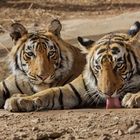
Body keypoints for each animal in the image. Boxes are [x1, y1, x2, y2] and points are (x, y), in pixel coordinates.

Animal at [4, 21, 140, 111]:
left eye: (119, 66)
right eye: (98, 67)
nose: (107, 93)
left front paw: (133, 97)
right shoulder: (72, 89)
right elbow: (48, 92)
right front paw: (18, 100)